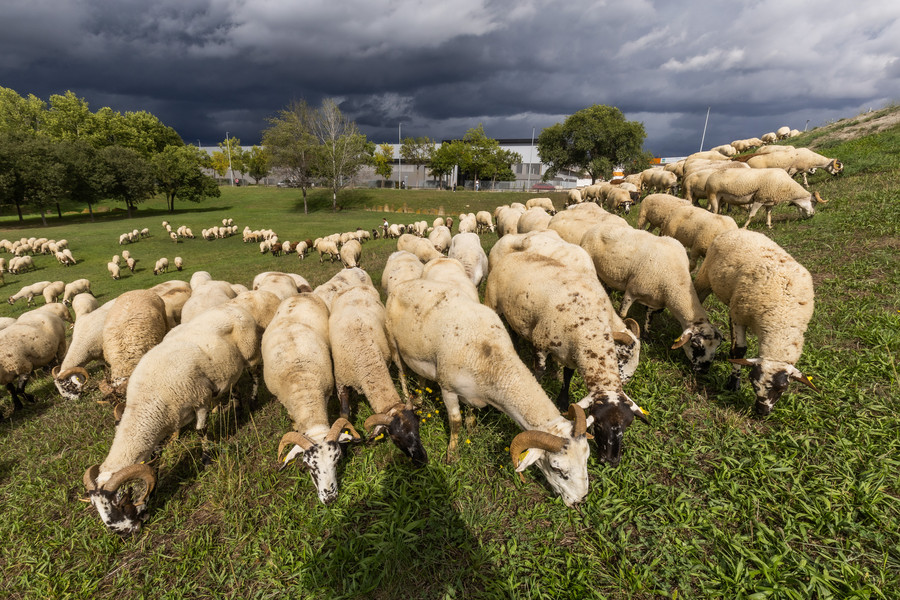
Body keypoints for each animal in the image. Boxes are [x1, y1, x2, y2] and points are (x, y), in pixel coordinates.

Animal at [326, 284, 428, 466]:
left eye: (417, 428)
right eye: (395, 438)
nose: (422, 459)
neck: (364, 354)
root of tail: (353, 286)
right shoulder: (341, 381)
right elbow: (344, 415)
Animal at [384, 276, 592, 506]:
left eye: (587, 458)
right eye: (557, 469)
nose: (581, 500)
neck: (492, 358)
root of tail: (405, 283)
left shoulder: (472, 393)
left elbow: (471, 412)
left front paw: (472, 428)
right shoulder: (448, 388)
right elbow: (455, 422)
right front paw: (452, 454)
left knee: (419, 374)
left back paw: (420, 396)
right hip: (393, 342)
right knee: (401, 373)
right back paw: (409, 401)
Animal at [692, 227, 820, 414]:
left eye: (783, 388)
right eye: (752, 382)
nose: (762, 411)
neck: (780, 318)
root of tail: (739, 230)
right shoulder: (740, 317)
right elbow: (739, 351)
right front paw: (734, 383)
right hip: (706, 277)